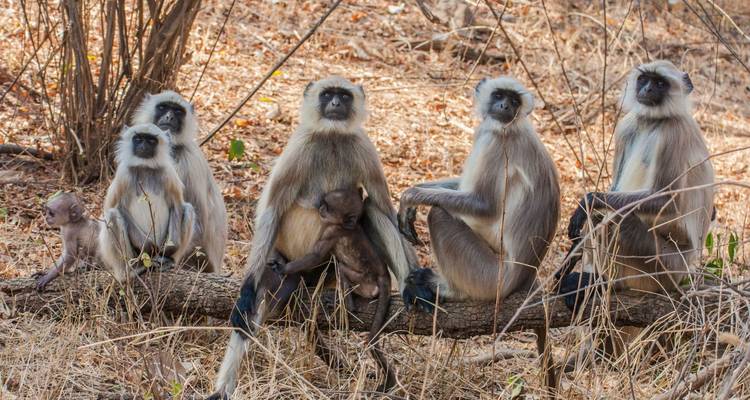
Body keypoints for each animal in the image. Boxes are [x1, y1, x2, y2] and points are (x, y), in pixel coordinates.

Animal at [99, 124, 197, 283]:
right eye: (138, 139)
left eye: (151, 140)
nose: (143, 146)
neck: (145, 167)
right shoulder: (123, 175)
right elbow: (116, 208)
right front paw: (149, 246)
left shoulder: (168, 174)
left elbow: (177, 206)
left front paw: (169, 248)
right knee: (112, 215)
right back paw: (130, 271)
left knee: (188, 209)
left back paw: (167, 260)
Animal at [270, 187, 396, 391]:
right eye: (323, 203)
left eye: (328, 206)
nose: (320, 208)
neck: (347, 227)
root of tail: (384, 276)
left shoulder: (332, 231)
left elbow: (315, 256)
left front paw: (283, 268)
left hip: (365, 282)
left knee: (341, 269)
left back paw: (345, 305)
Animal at [398, 76, 560, 308]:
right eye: (499, 95)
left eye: (514, 101)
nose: (505, 106)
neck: (512, 127)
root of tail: (520, 278)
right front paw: (414, 198)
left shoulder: (494, 142)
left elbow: (484, 205)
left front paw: (410, 196)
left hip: (488, 277)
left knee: (438, 215)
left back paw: (451, 290)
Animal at [558, 60, 715, 364]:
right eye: (645, 79)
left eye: (660, 83)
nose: (647, 90)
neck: (654, 121)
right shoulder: (627, 127)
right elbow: (611, 191)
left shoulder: (673, 132)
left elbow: (666, 200)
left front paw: (588, 201)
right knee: (604, 217)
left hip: (666, 268)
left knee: (616, 221)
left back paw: (605, 286)